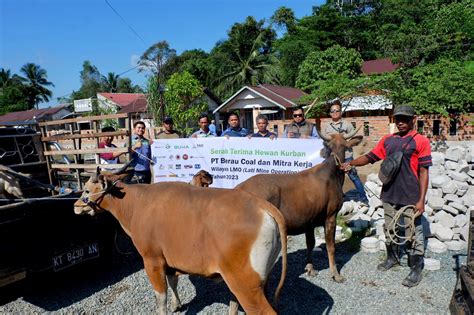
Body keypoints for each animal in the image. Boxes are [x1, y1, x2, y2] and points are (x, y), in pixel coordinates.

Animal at [73, 174, 286, 314]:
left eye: (86, 190)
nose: (75, 205)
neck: (136, 204)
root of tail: (263, 206)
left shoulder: (152, 260)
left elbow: (161, 298)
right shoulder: (169, 261)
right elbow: (173, 282)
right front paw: (177, 305)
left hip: (246, 286)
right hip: (257, 281)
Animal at [237, 130, 362, 282]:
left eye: (344, 146)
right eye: (330, 146)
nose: (339, 161)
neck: (335, 175)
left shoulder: (309, 220)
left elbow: (310, 243)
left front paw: (310, 269)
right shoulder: (331, 215)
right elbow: (331, 247)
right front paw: (336, 274)